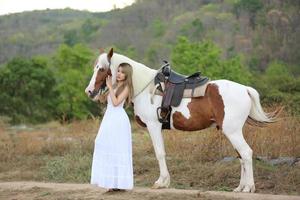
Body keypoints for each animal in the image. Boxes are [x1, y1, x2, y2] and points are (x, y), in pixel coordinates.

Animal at [84, 48, 276, 192]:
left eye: (102, 69)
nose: (89, 91)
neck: (146, 87)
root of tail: (245, 89)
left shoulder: (153, 126)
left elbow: (159, 153)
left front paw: (161, 182)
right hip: (232, 131)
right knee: (241, 156)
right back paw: (240, 187)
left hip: (232, 131)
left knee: (246, 153)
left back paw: (249, 188)